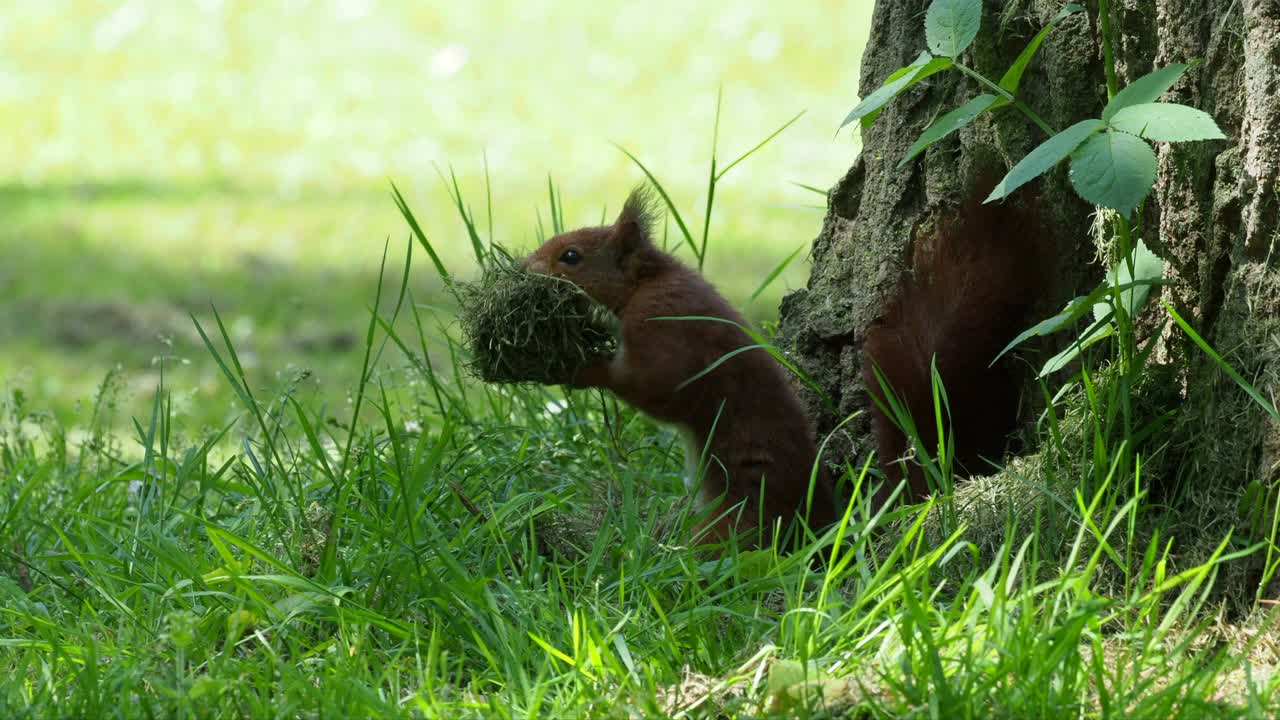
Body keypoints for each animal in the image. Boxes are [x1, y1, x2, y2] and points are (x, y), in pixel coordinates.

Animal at [519, 184, 839, 543]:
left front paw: (576, 369)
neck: (646, 283)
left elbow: (652, 387)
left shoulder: (664, 328)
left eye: (571, 256)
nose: (523, 266)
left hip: (737, 519)